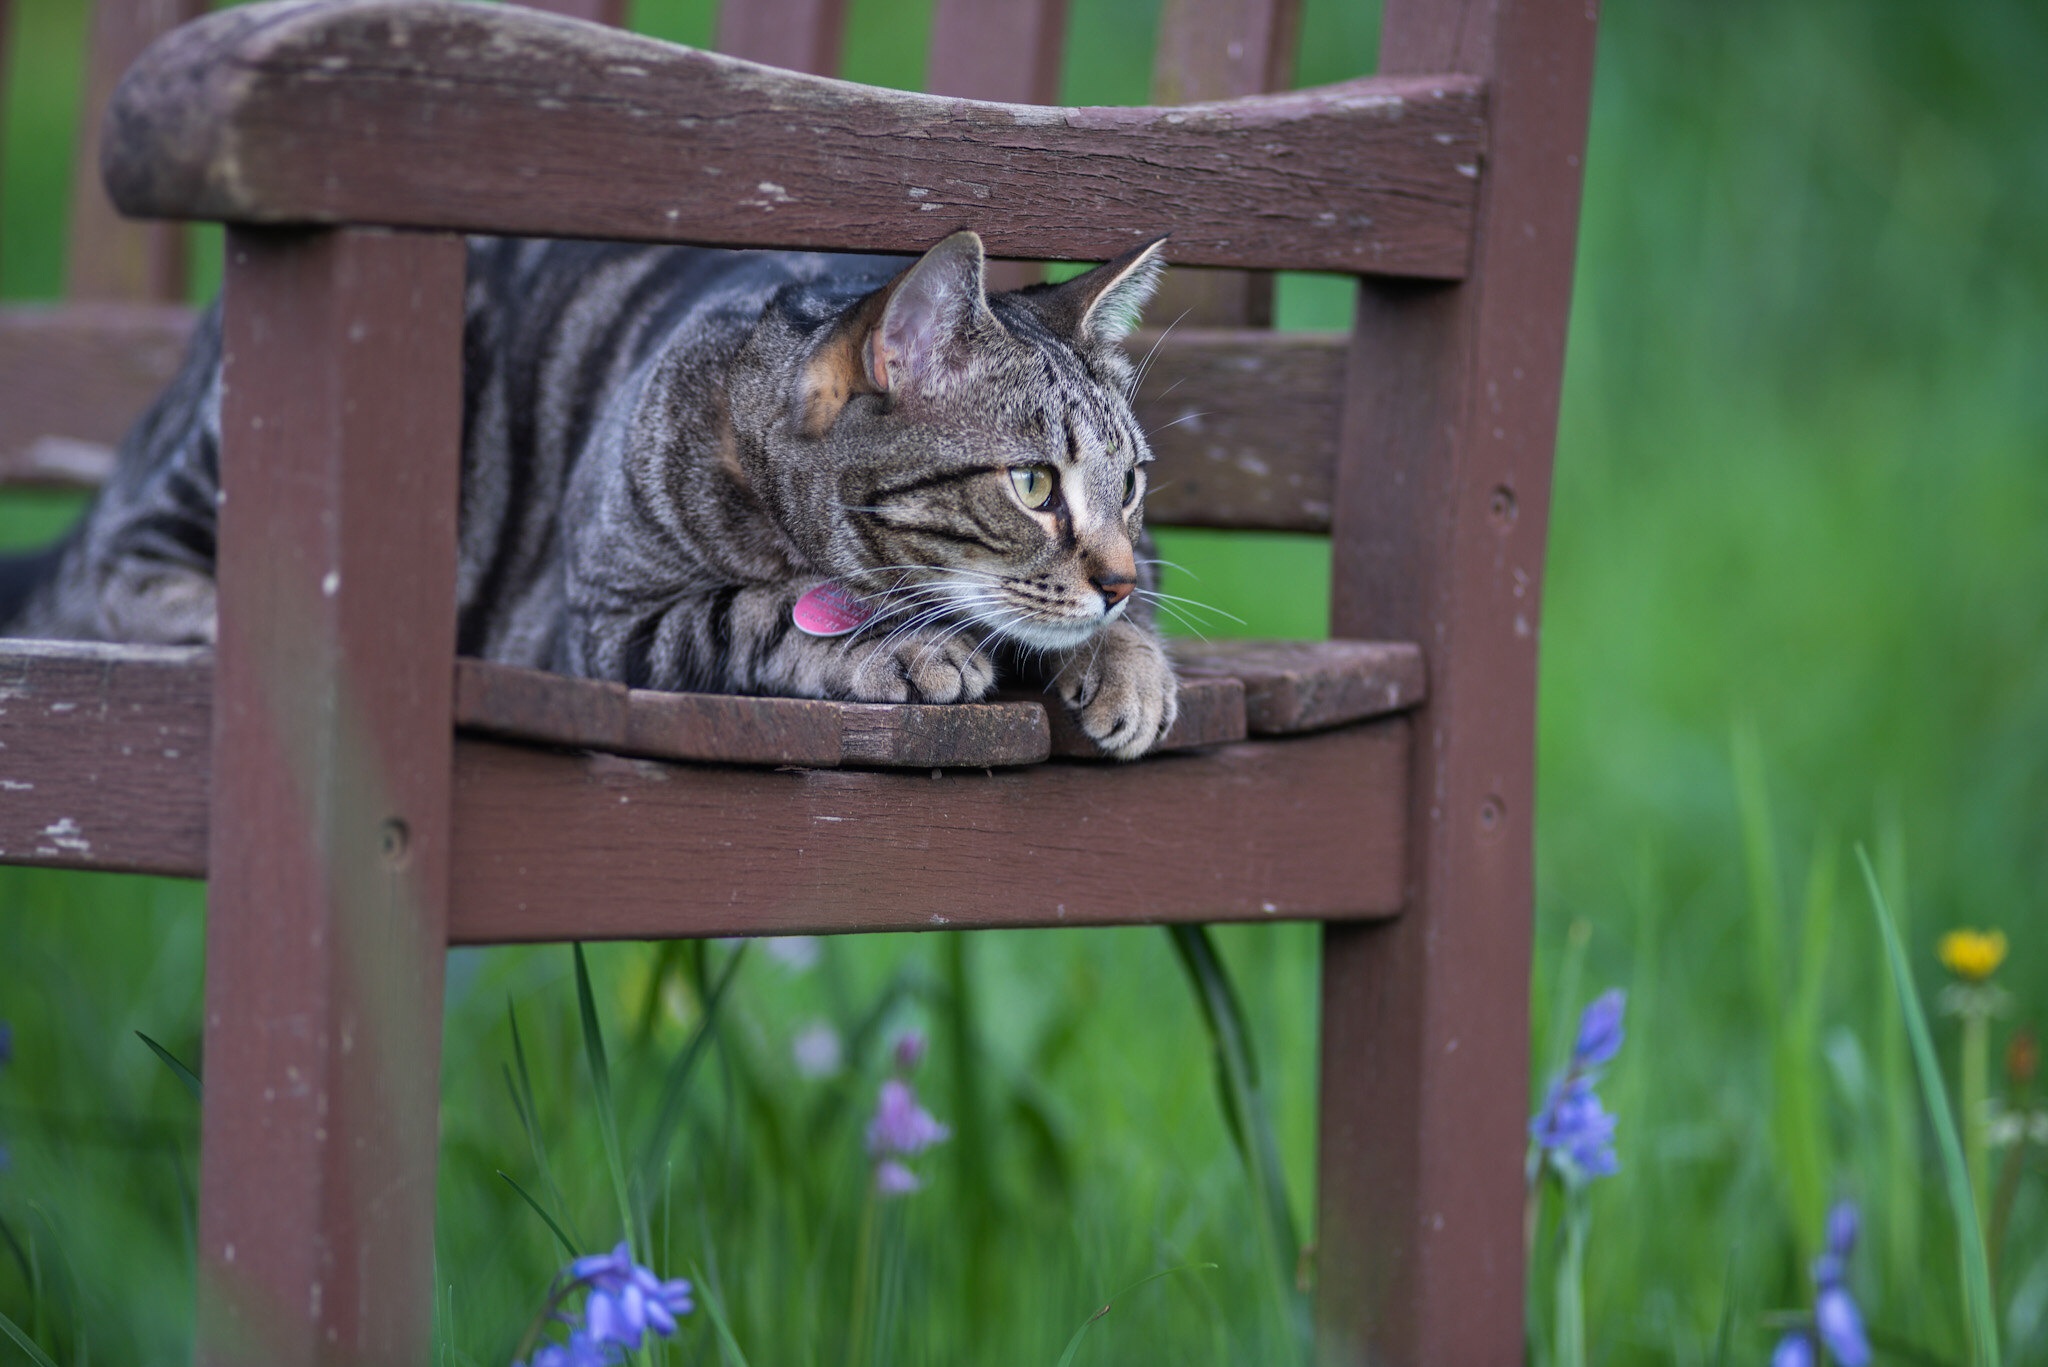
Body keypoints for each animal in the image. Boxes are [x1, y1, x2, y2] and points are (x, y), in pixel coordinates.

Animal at [0, 237, 1187, 770]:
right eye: (1032, 485)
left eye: (1129, 482)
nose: (1114, 574)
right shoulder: (615, 624)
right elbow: (756, 613)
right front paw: (905, 644)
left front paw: (1129, 661)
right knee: (118, 559)